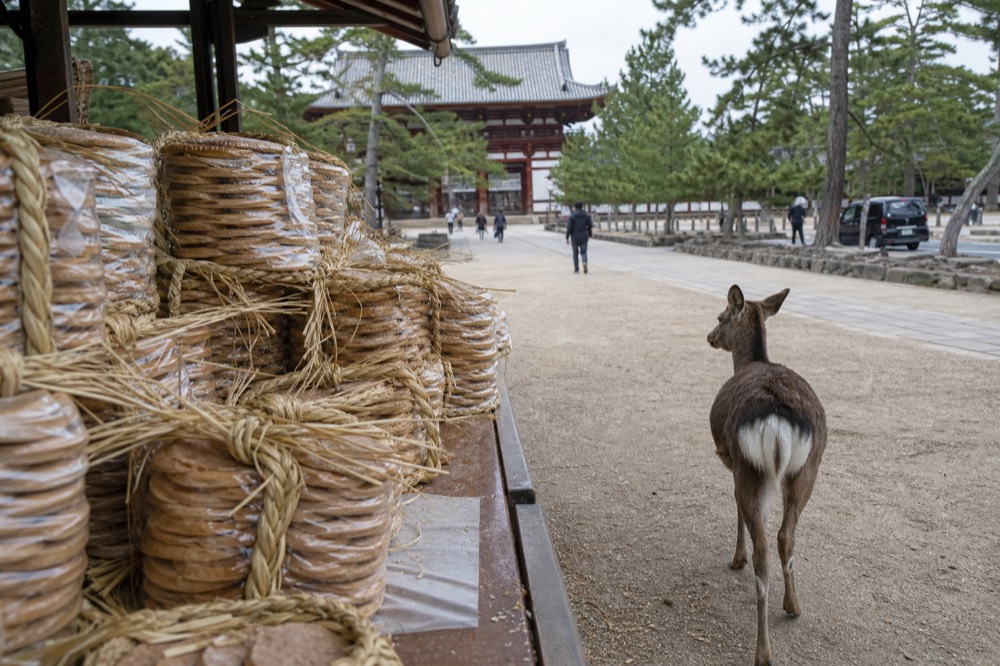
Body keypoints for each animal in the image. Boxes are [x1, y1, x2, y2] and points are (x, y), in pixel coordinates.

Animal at [706, 285, 827, 666]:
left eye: (720, 316)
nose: (710, 336)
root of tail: (775, 418)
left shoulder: (731, 462)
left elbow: (734, 507)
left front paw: (736, 559)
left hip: (752, 469)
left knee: (764, 551)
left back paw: (763, 652)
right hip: (808, 468)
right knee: (786, 535)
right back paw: (793, 605)